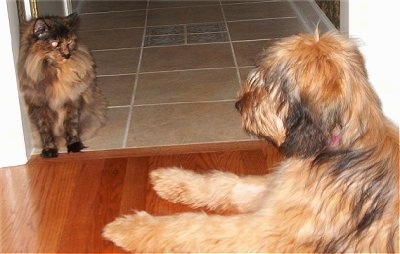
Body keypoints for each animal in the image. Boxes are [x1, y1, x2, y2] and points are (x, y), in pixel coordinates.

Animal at [18, 12, 107, 158]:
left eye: (69, 41)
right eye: (54, 43)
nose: (67, 55)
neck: (56, 71)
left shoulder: (72, 100)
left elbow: (71, 125)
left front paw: (74, 145)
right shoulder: (39, 105)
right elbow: (45, 131)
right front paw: (49, 150)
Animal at [102, 31, 396, 252]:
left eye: (268, 84)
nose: (238, 104)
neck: (336, 146)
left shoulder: (268, 230)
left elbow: (195, 226)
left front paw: (130, 228)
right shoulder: (276, 192)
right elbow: (225, 183)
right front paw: (171, 179)